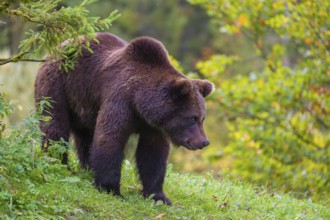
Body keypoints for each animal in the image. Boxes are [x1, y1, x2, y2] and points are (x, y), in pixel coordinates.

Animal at [34, 32, 214, 205]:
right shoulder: (120, 101)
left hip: (84, 105)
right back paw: (58, 162)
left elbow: (153, 153)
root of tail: (54, 50)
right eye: (192, 118)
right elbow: (110, 138)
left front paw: (158, 195)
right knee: (55, 125)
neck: (140, 103)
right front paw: (111, 189)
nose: (204, 142)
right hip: (60, 86)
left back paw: (87, 168)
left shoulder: (153, 126)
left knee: (85, 137)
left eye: (202, 118)